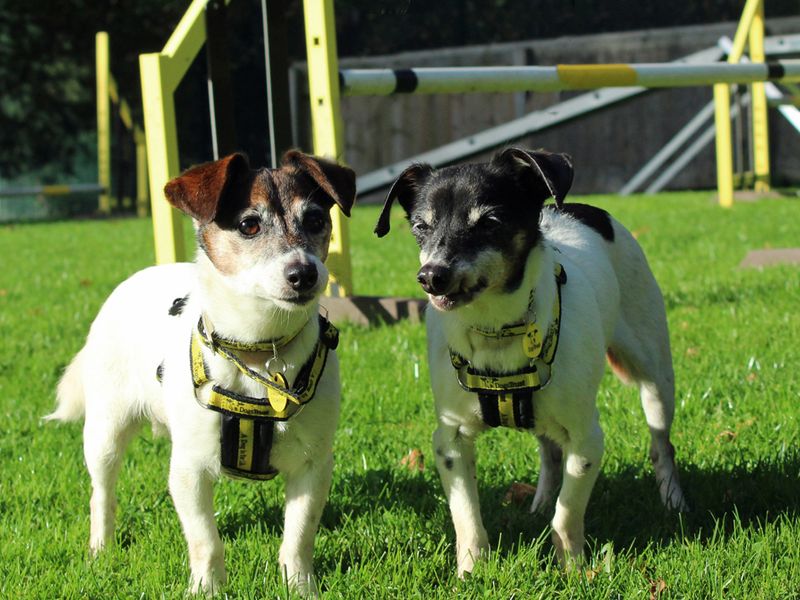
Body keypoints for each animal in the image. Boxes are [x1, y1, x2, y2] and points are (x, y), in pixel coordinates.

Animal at [46, 151, 354, 596]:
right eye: (249, 225)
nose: (304, 273)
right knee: (101, 492)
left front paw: (299, 587)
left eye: (315, 220)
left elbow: (299, 535)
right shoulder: (189, 469)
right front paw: (207, 588)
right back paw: (101, 548)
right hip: (104, 432)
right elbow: (205, 539)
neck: (258, 352)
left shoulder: (313, 465)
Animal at [376, 146, 688, 576]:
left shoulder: (587, 441)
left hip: (656, 377)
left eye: (489, 221)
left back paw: (673, 500)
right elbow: (466, 516)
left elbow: (568, 513)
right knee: (550, 453)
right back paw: (538, 504)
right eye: (421, 226)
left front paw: (573, 567)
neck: (495, 331)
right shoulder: (450, 442)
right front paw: (471, 570)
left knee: (661, 445)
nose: (431, 276)